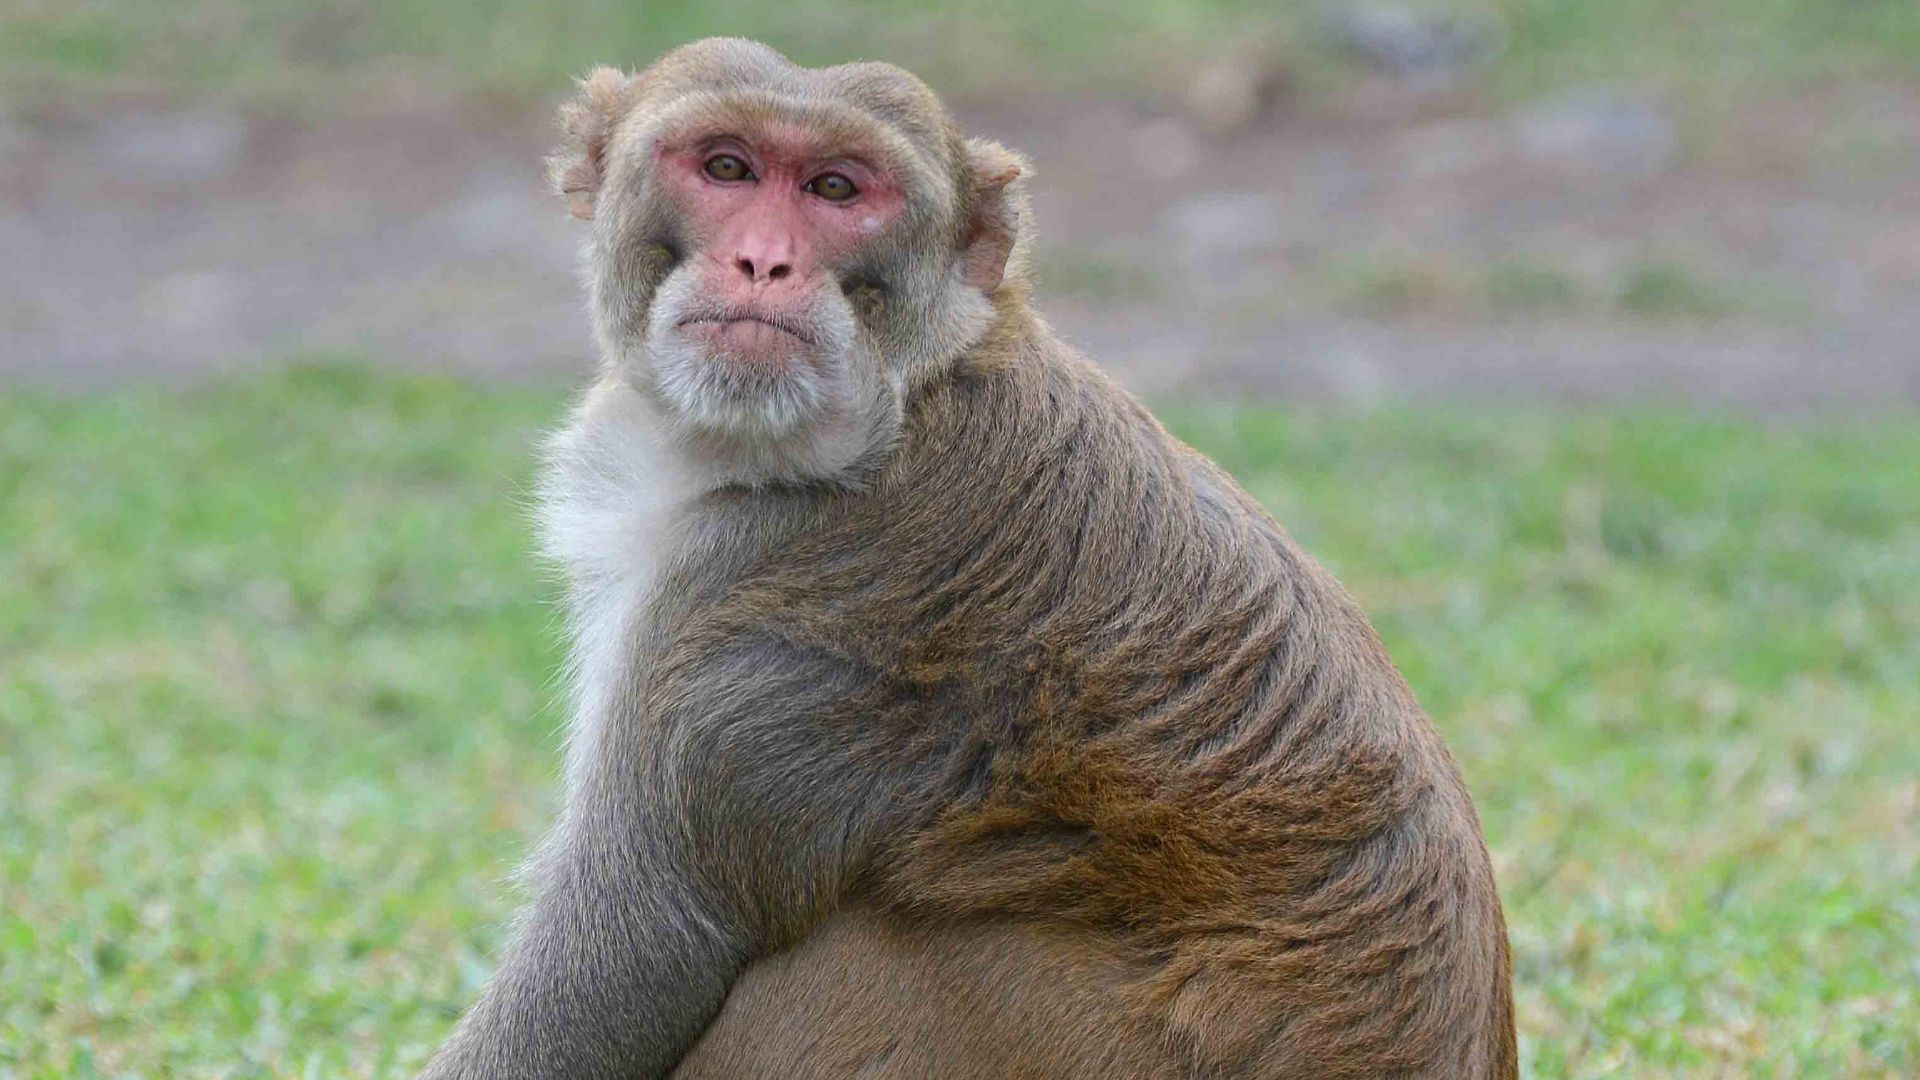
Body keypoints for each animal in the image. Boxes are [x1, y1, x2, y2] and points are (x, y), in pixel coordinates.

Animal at [420, 37, 1515, 1079]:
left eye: (837, 190)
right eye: (726, 168)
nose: (763, 263)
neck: (900, 402)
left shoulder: (766, 624)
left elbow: (632, 948)